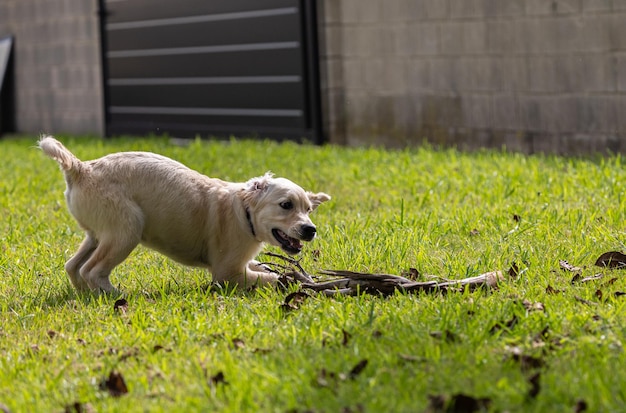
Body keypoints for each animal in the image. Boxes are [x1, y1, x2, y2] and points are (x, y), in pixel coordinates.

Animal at [37, 137, 332, 292]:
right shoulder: (227, 273)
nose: (310, 229)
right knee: (92, 270)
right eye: (286, 205)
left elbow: (263, 267)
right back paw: (114, 295)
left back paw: (86, 294)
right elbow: (270, 277)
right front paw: (292, 281)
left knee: (73, 266)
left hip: (97, 236)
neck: (244, 212)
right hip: (125, 231)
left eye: (308, 209)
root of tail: (80, 168)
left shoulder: (242, 263)